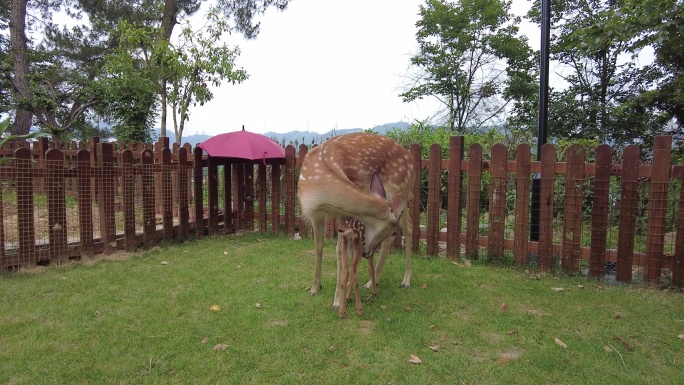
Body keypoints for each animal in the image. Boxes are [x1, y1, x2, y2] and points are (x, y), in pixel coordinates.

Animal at [300, 134, 416, 308]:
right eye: (388, 229)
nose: (367, 253)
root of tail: (411, 160)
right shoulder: (316, 214)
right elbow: (319, 247)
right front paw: (315, 288)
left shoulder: (342, 214)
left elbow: (340, 251)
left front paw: (337, 300)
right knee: (396, 235)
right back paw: (371, 282)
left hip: (399, 188)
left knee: (409, 227)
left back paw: (405, 280)